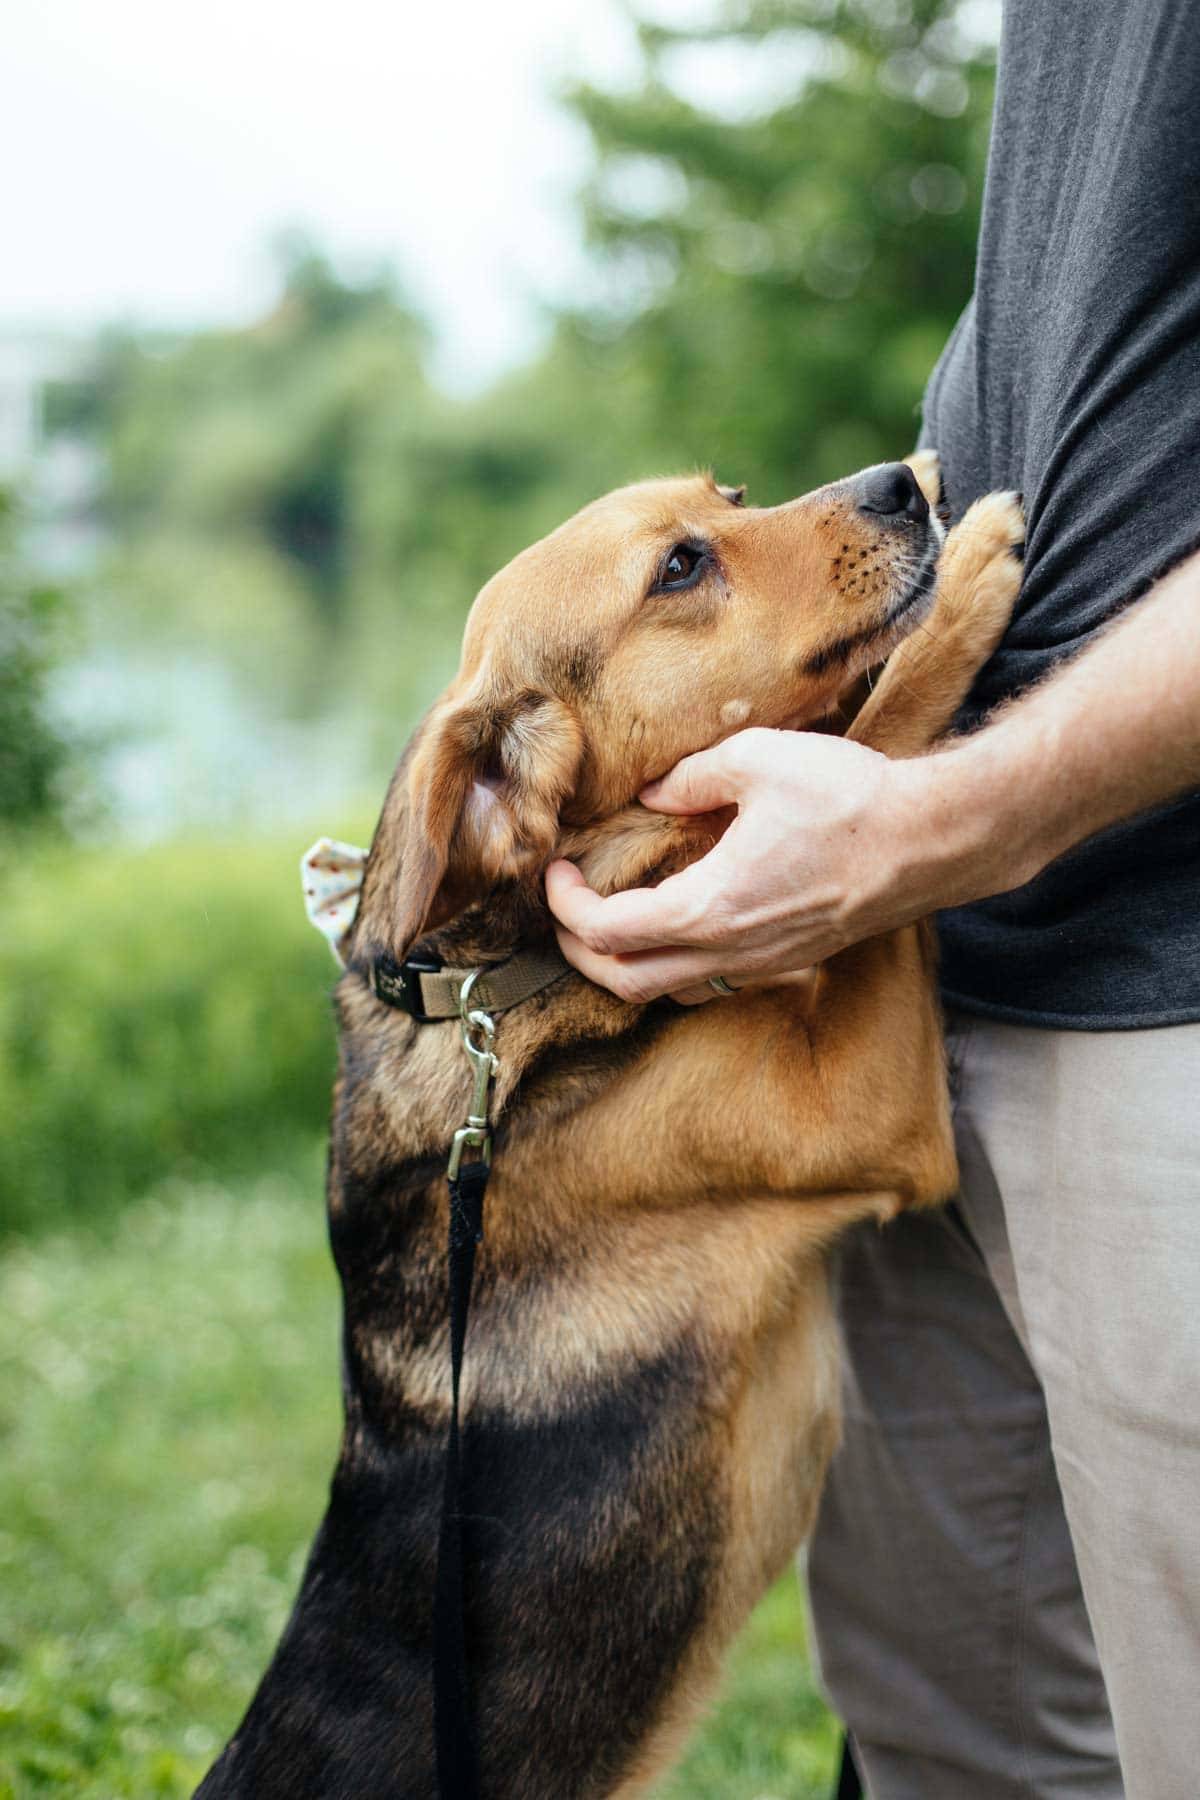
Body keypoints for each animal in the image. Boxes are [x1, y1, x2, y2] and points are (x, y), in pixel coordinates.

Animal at [197, 457, 1021, 1792]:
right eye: (678, 568)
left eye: (730, 494)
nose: (902, 482)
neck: (504, 979)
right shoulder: (866, 1102)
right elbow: (870, 754)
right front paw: (966, 591)